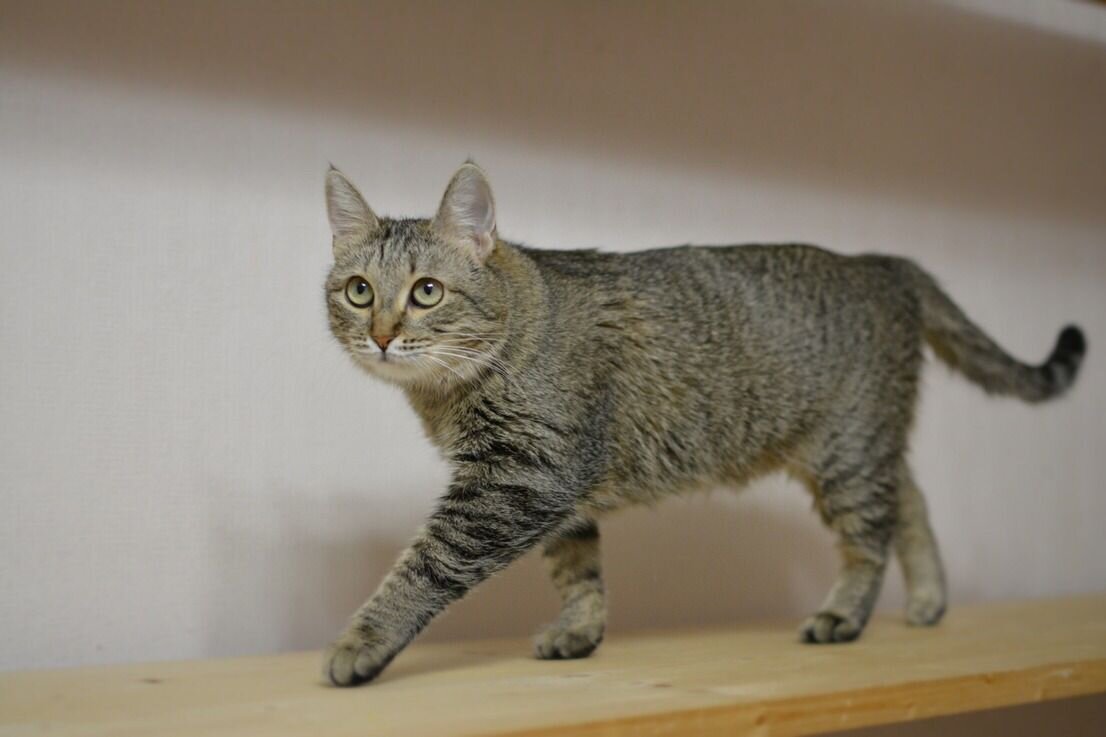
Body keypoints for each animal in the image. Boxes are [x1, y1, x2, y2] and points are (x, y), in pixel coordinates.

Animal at [321, 161, 1086, 686]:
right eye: (358, 291)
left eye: (426, 292)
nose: (381, 336)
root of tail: (884, 262)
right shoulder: (553, 490)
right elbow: (579, 572)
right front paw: (581, 631)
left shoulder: (520, 479)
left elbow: (422, 567)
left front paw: (362, 642)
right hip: (859, 447)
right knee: (911, 500)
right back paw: (929, 599)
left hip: (847, 452)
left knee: (871, 539)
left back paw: (845, 614)